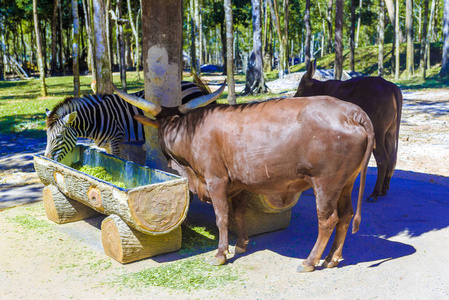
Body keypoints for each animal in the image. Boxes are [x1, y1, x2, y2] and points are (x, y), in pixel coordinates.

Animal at [45, 81, 212, 162]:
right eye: (47, 137)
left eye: (58, 137)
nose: (46, 158)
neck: (97, 120)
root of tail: (194, 85)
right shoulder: (105, 144)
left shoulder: (115, 139)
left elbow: (118, 160)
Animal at [114, 82, 372, 272]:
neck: (188, 132)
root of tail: (352, 112)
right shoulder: (237, 184)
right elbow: (239, 214)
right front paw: (240, 244)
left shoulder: (216, 180)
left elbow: (222, 217)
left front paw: (220, 254)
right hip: (346, 182)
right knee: (346, 216)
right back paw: (332, 259)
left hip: (326, 184)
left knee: (328, 220)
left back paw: (310, 261)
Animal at [296, 61, 400, 202]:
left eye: (301, 89)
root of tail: (389, 86)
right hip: (390, 133)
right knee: (392, 157)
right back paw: (384, 189)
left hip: (377, 133)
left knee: (383, 158)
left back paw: (375, 193)